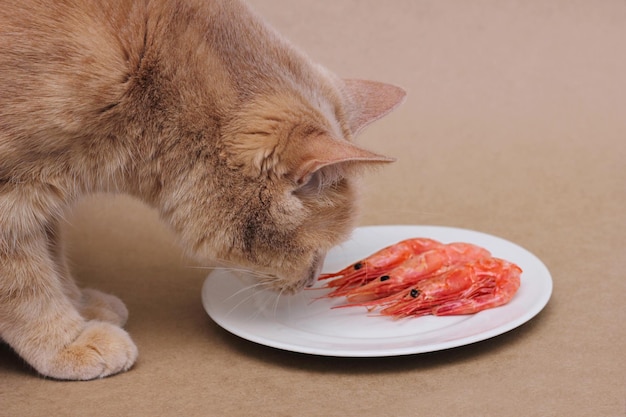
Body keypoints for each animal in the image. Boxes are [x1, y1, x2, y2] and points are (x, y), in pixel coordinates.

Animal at [0, 0, 404, 380]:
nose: (312, 282)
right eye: (317, 250)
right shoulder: (13, 198)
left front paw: (79, 305)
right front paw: (67, 341)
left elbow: (52, 255)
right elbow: (25, 285)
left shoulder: (46, 194)